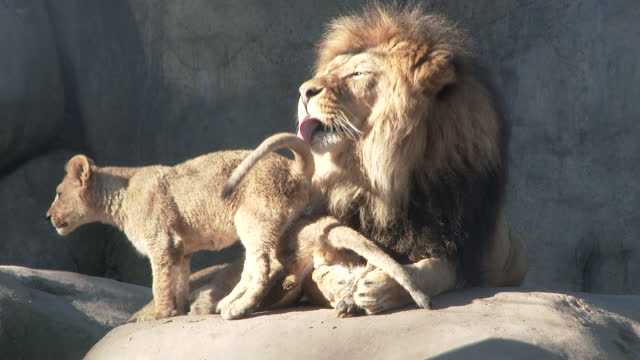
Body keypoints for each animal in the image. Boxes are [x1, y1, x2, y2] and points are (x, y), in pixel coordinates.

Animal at [292, 3, 528, 316]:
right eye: (329, 71)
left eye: (357, 74)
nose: (303, 91)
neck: (379, 178)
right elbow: (318, 274)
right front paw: (341, 283)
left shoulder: (465, 251)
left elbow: (431, 271)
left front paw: (380, 286)